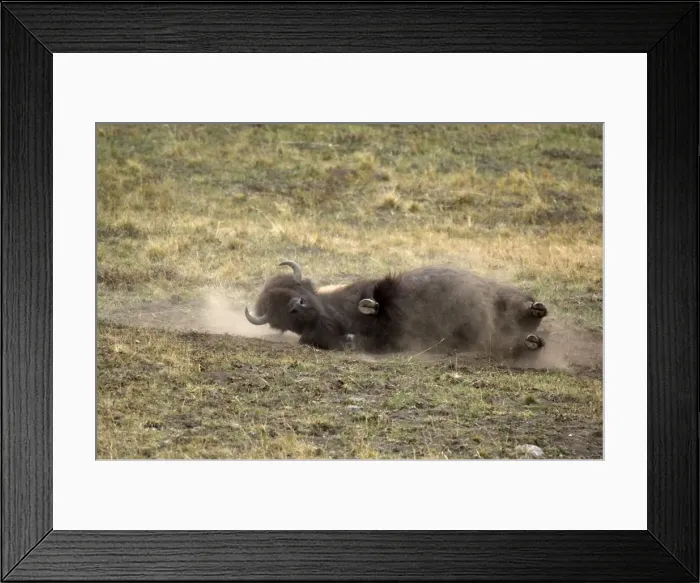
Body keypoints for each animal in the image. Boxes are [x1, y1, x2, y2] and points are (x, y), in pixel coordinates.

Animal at [245, 260, 548, 357]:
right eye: (276, 313)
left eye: (296, 289)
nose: (297, 307)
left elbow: (379, 296)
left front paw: (369, 305)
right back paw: (532, 340)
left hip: (496, 294)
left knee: (518, 306)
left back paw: (535, 309)